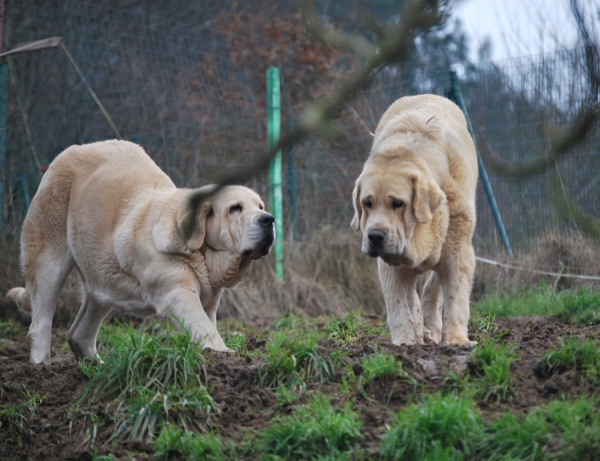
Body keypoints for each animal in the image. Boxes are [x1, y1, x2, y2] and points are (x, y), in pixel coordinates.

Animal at [7, 138, 274, 362]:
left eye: (260, 206)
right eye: (235, 208)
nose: (268, 219)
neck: (201, 254)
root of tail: (73, 149)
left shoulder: (209, 299)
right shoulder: (177, 292)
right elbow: (206, 330)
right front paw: (226, 355)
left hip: (103, 277)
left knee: (79, 334)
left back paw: (98, 368)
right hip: (50, 258)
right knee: (40, 323)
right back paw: (42, 367)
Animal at [352, 93, 478, 344]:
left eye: (397, 203)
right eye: (367, 203)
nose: (375, 236)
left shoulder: (459, 250)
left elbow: (456, 297)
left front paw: (456, 341)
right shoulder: (390, 264)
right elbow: (399, 305)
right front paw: (405, 342)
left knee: (433, 288)